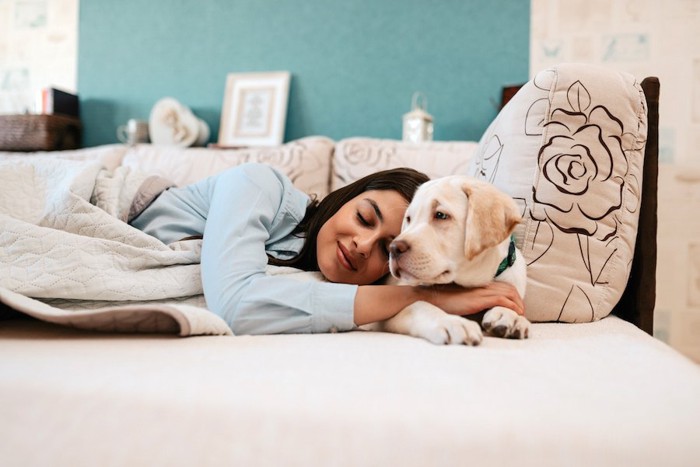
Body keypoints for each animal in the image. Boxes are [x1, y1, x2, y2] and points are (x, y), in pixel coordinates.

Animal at [366, 177, 532, 346]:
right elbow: (418, 305)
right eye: (409, 219)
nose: (393, 248)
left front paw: (509, 315)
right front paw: (452, 322)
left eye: (440, 215)